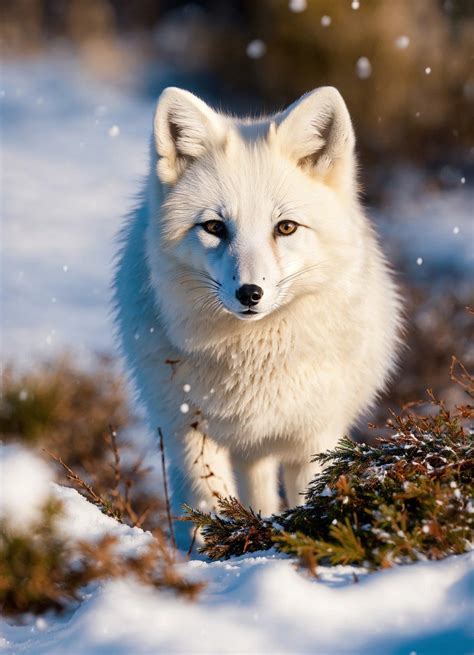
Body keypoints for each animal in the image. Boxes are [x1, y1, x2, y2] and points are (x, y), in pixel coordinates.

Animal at [113, 86, 402, 547]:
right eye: (214, 227)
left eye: (285, 227)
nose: (250, 293)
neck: (250, 361)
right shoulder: (190, 435)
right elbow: (208, 511)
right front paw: (212, 558)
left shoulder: (313, 439)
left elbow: (307, 502)